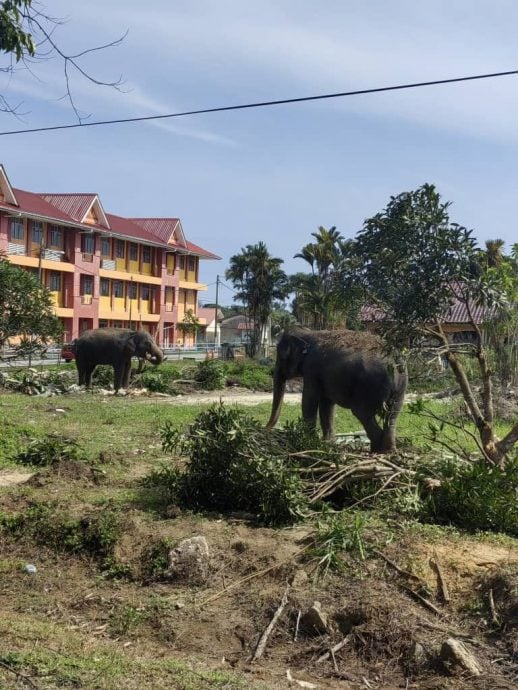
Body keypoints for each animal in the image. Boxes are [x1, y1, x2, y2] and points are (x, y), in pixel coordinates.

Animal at [268, 328, 410, 452]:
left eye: (281, 356)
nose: (266, 428)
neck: (308, 332)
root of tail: (393, 366)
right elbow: (327, 405)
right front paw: (328, 444)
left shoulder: (311, 369)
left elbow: (309, 399)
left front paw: (308, 443)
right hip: (400, 388)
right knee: (392, 415)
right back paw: (388, 451)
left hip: (368, 387)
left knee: (362, 413)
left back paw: (376, 451)